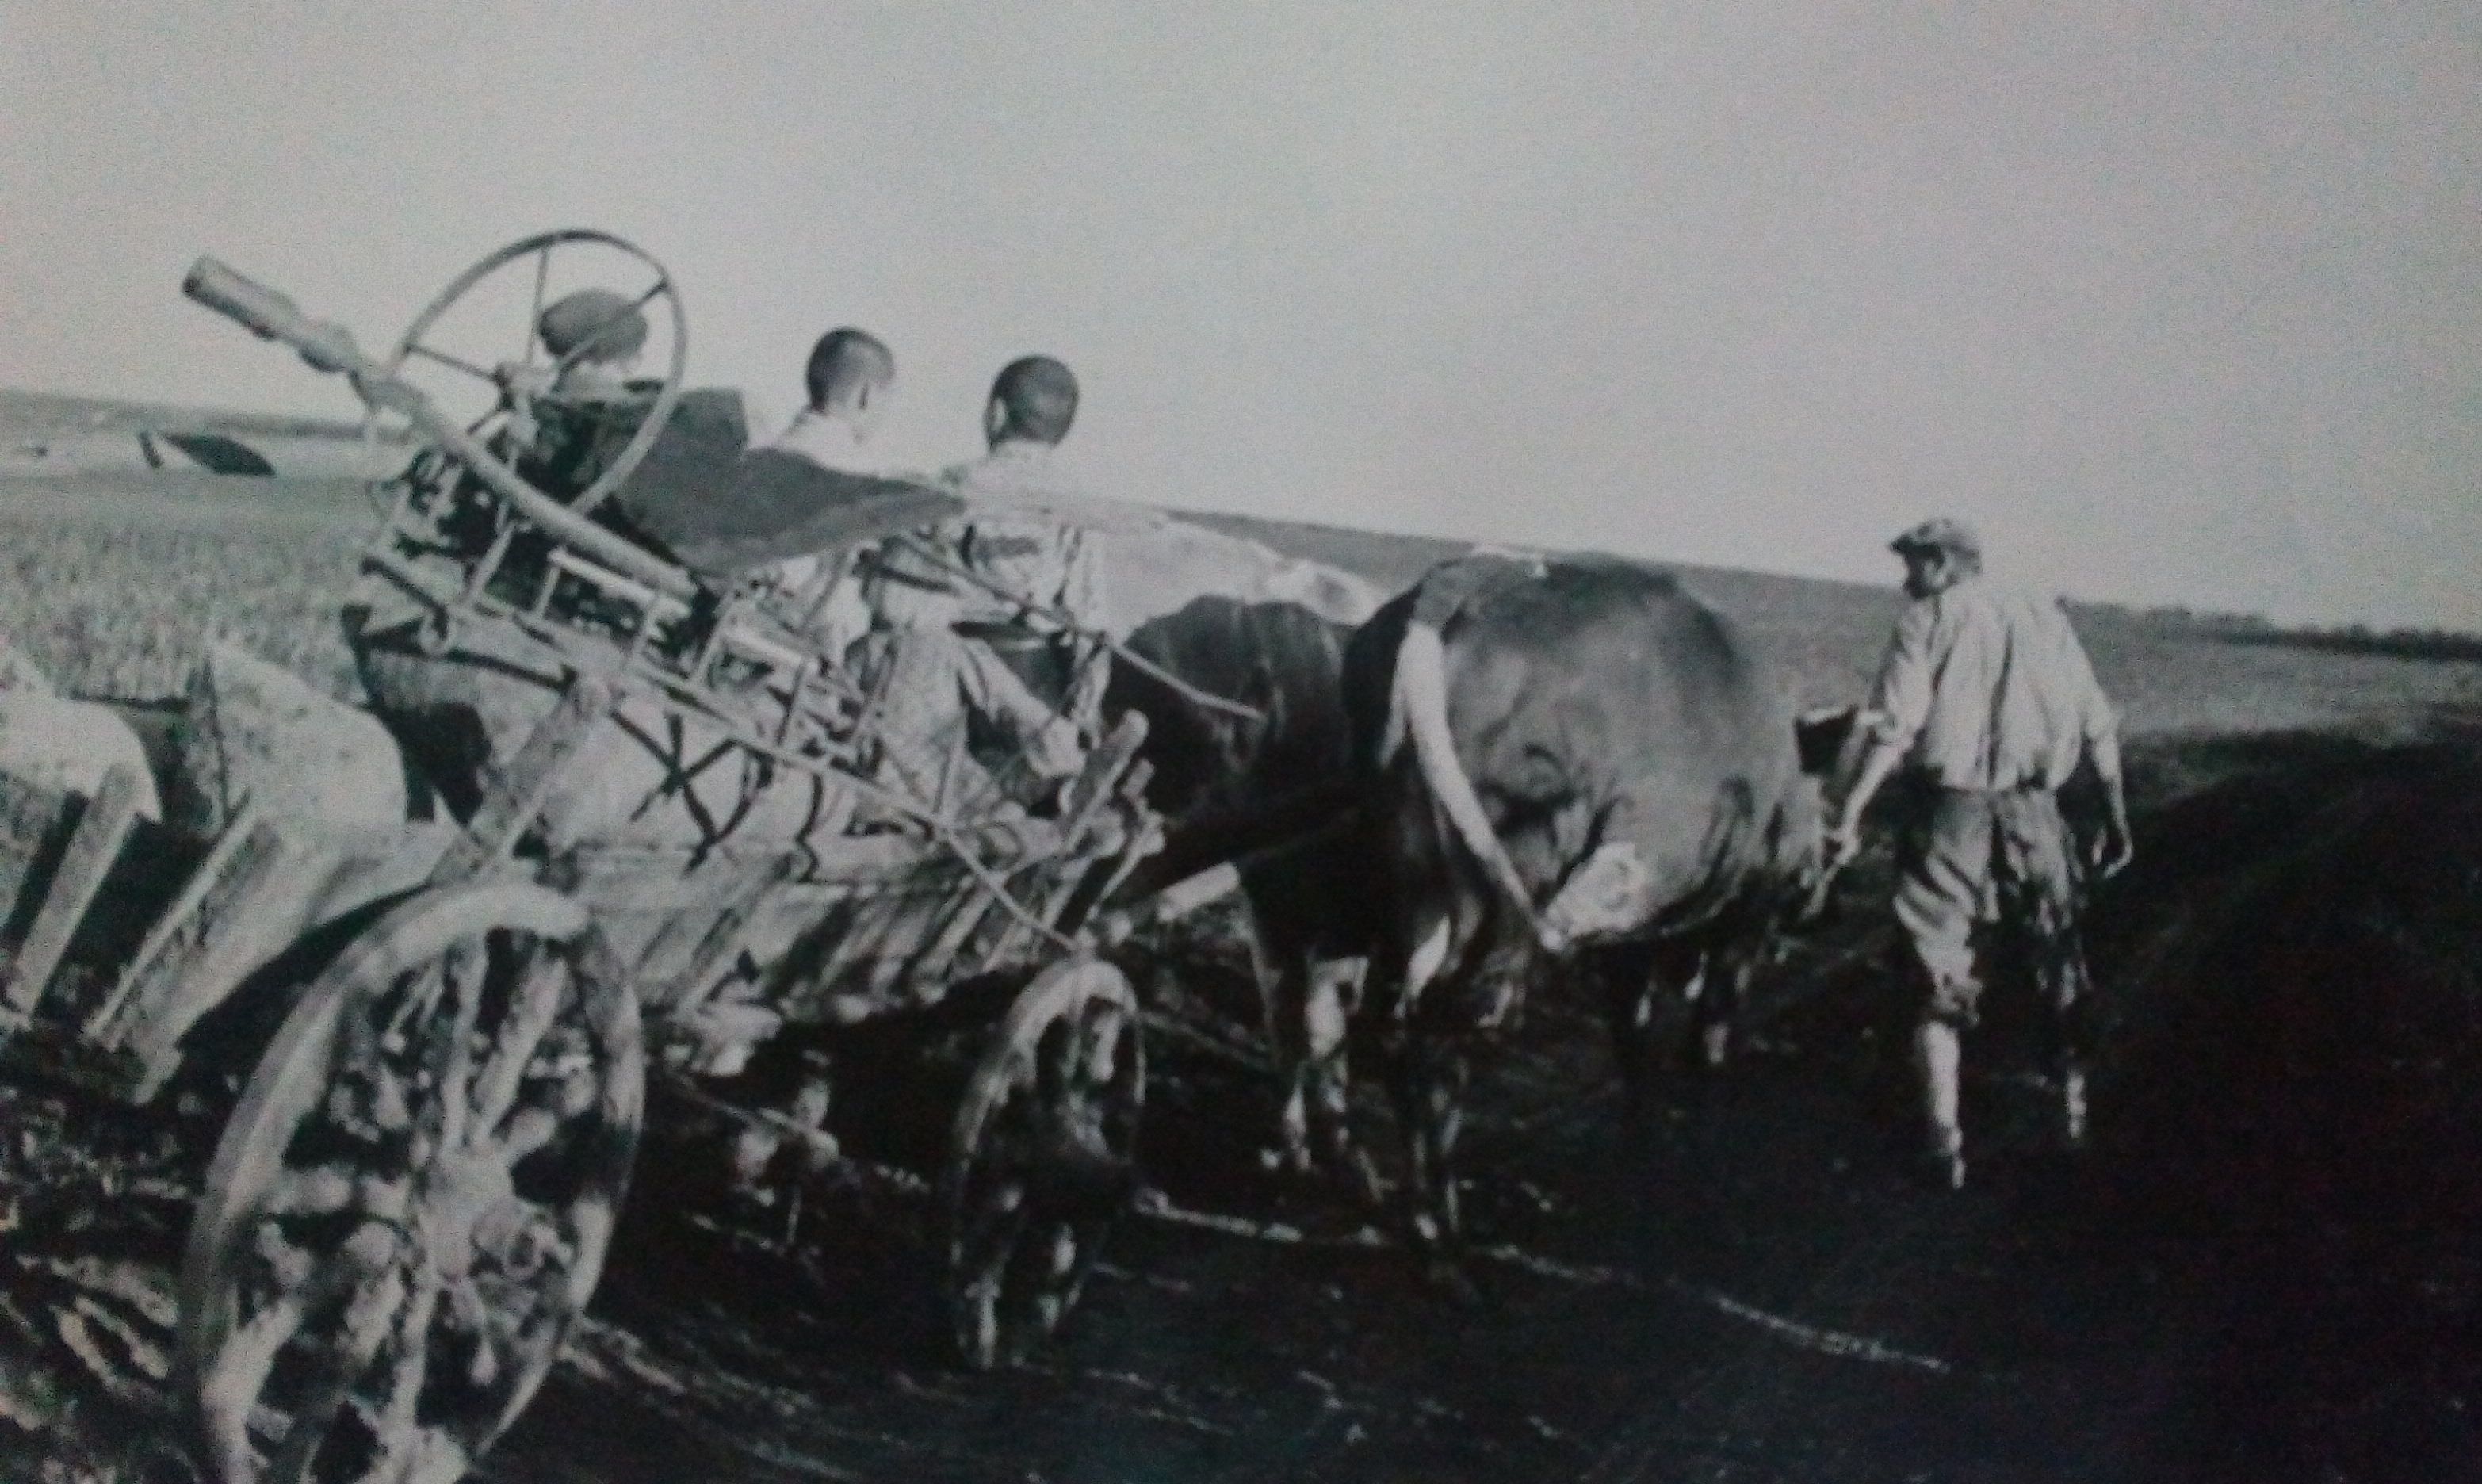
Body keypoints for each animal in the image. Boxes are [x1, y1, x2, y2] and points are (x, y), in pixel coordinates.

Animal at [1332, 552, 1842, 1275]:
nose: (1821, 898)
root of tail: (1467, 578)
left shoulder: (1634, 940)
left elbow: (1632, 1031)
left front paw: (1641, 1128)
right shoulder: (1741, 916)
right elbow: (1710, 1024)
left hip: (1403, 875)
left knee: (1385, 1024)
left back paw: (1417, 1215)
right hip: (1502, 883)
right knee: (1438, 1036)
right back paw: (1446, 1245)